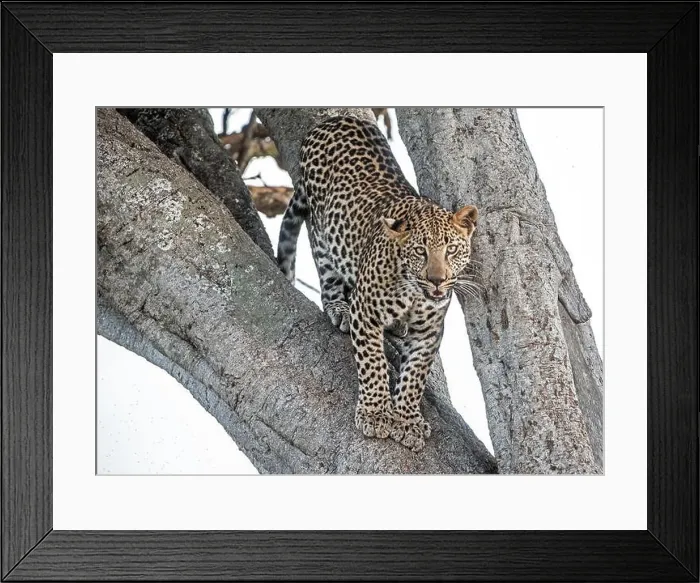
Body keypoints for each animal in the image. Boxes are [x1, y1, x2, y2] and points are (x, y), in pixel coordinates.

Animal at [277, 115, 478, 452]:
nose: (437, 280)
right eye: (420, 251)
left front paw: (407, 420)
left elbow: (415, 376)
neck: (414, 293)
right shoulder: (367, 313)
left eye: (451, 249)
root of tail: (331, 120)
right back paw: (338, 308)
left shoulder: (429, 332)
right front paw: (375, 413)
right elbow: (373, 363)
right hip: (322, 231)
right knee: (326, 269)